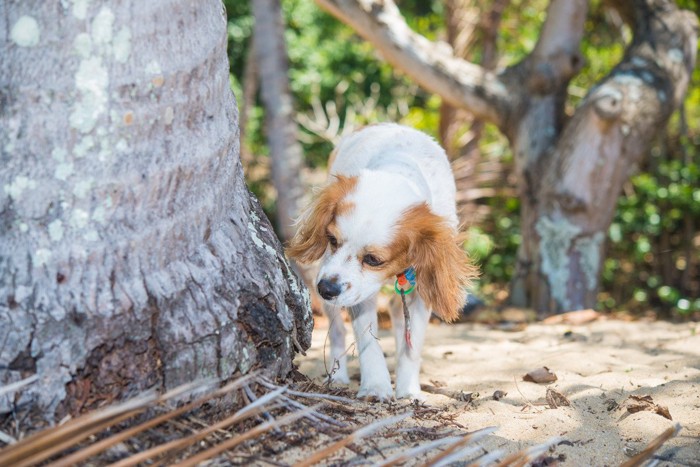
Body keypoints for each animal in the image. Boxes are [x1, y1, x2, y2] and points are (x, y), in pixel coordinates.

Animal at [286, 122, 476, 400]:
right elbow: (367, 340)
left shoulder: (421, 288)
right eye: (331, 239)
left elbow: (412, 346)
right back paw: (338, 375)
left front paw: (409, 390)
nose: (326, 289)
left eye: (373, 260)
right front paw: (376, 386)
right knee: (337, 329)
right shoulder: (356, 291)